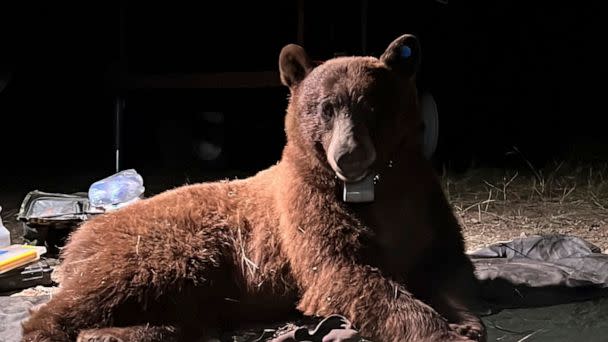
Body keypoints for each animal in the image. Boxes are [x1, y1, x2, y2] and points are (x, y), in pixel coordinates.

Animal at [22, 34, 484, 342]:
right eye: (325, 108)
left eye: (372, 106)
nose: (349, 156)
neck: (371, 187)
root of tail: (79, 236)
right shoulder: (308, 211)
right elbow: (345, 273)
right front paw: (440, 330)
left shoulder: (422, 199)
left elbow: (447, 263)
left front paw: (465, 319)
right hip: (158, 252)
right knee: (88, 297)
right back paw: (56, 329)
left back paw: (121, 333)